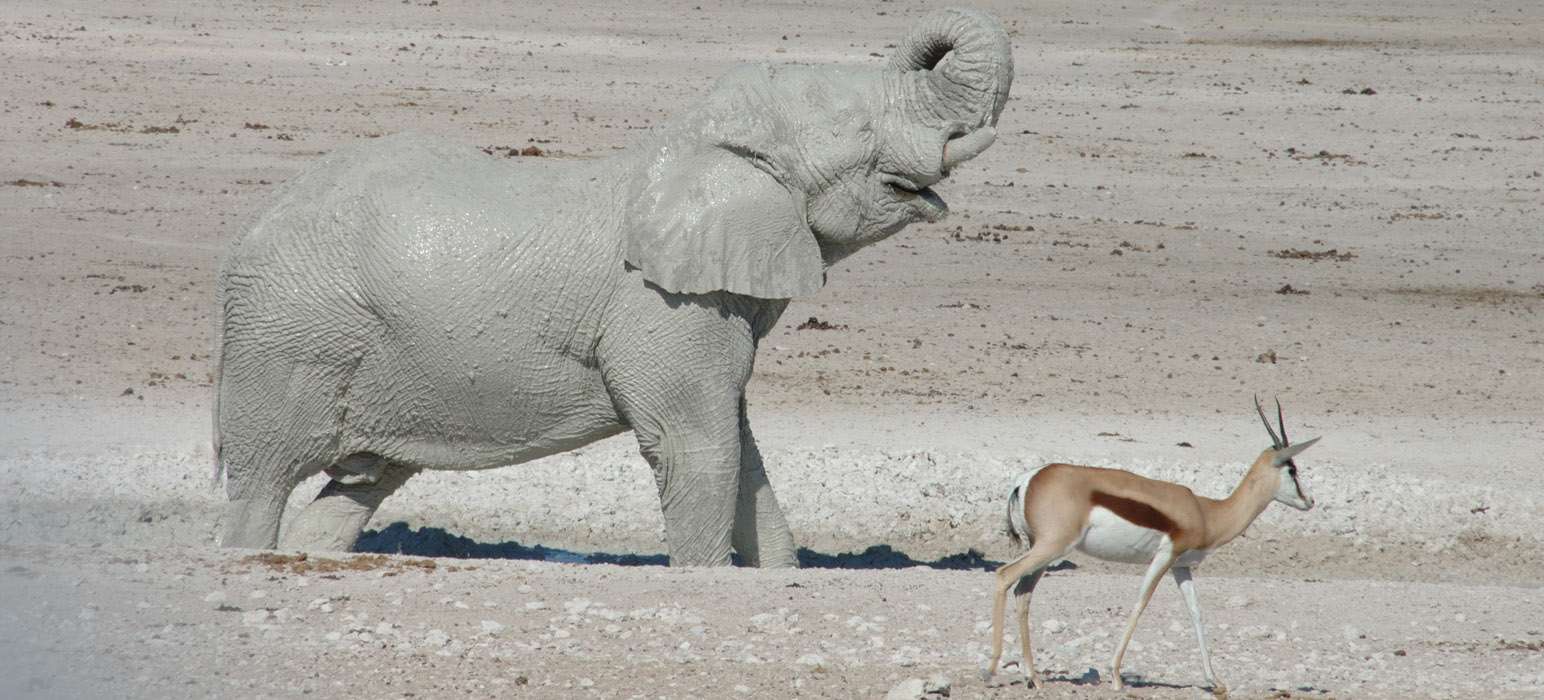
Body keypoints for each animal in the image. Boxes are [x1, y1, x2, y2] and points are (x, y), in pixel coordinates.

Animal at [217, 8, 1012, 565]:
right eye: (859, 129)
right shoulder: (662, 307)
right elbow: (697, 445)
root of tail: (244, 239)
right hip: (291, 338)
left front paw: (780, 575)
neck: (690, 141)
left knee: (363, 482)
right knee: (262, 480)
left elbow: (741, 449)